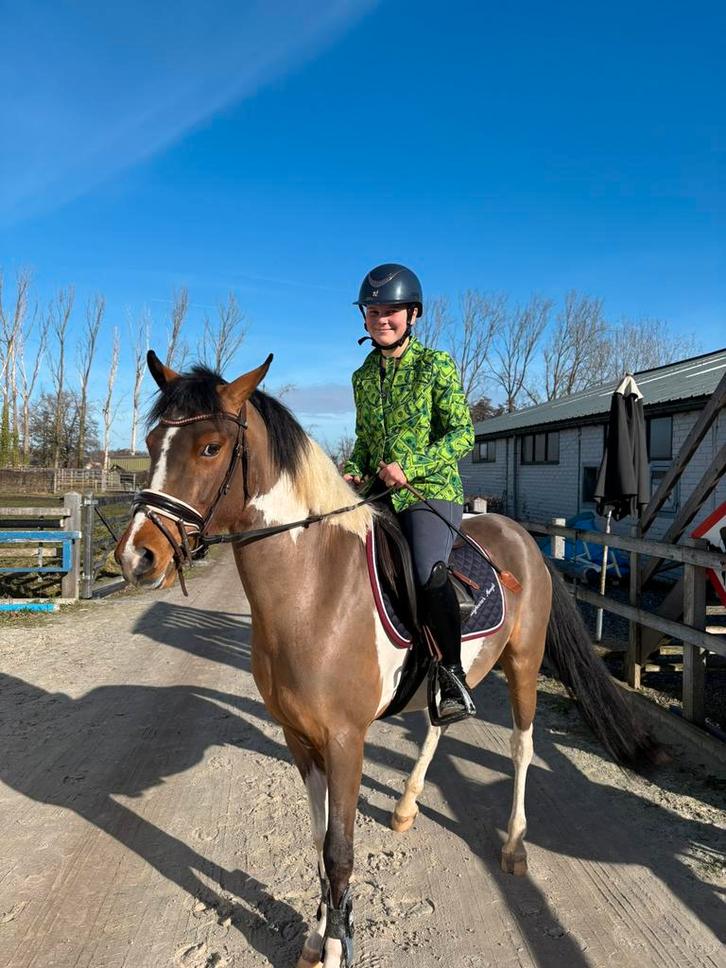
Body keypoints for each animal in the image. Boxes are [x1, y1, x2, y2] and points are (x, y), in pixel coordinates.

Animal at [115, 352, 658, 968]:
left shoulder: (345, 739)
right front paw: (314, 937)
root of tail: (521, 535)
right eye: (153, 441)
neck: (314, 589)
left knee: (522, 747)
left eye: (209, 447)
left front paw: (335, 946)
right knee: (440, 721)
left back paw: (515, 846)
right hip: (459, 671)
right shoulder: (298, 737)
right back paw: (405, 805)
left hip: (523, 662)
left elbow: (340, 851)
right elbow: (318, 839)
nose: (136, 556)